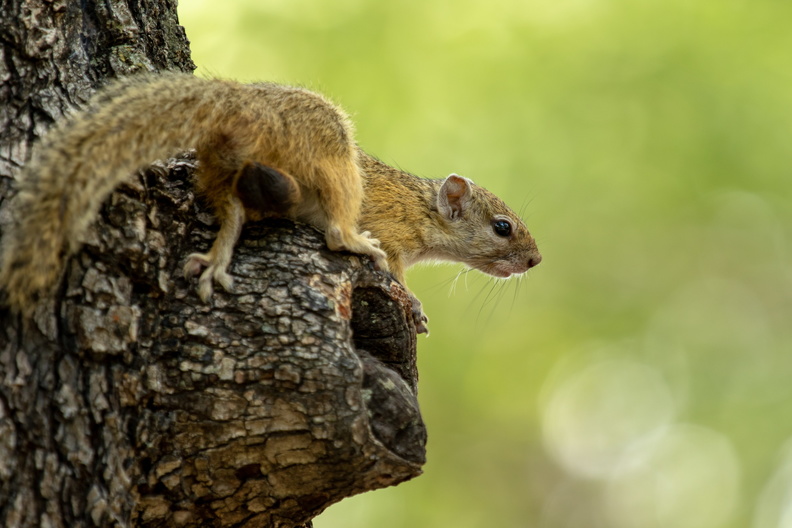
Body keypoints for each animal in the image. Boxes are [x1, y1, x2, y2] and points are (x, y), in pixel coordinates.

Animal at [0, 73, 541, 331]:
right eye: (502, 227)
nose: (535, 260)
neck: (422, 208)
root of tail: (243, 107)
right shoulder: (394, 234)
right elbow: (397, 275)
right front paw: (415, 305)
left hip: (227, 172)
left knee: (235, 211)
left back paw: (217, 259)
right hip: (329, 154)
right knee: (336, 232)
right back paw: (354, 242)